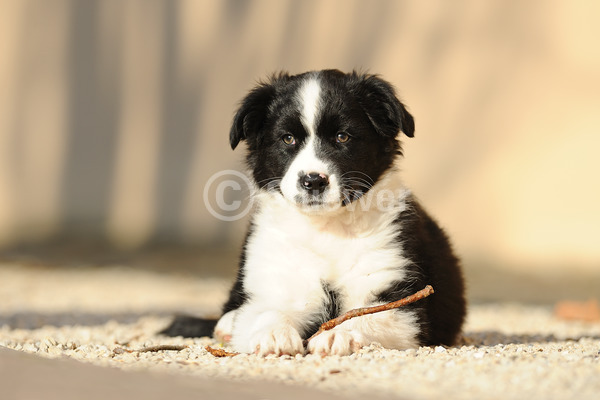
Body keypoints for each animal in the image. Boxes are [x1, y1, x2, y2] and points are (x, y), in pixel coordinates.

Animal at [162, 69, 466, 356]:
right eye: (287, 139)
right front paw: (273, 334)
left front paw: (337, 335)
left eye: (342, 137)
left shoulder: (401, 300)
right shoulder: (279, 279)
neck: (326, 228)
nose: (313, 181)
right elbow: (266, 311)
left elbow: (364, 316)